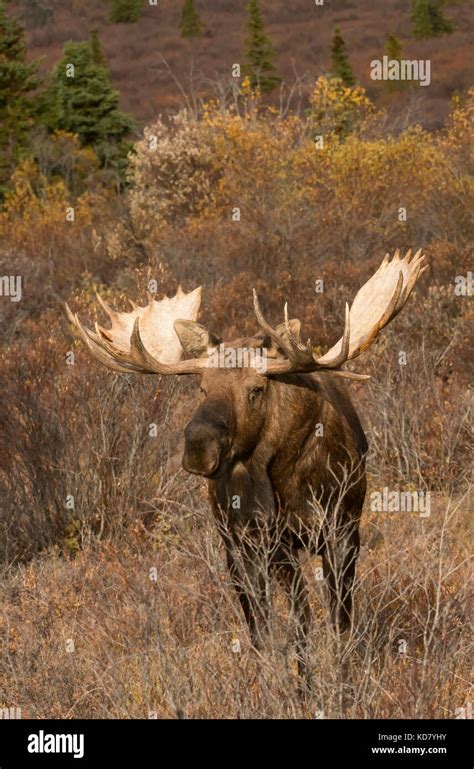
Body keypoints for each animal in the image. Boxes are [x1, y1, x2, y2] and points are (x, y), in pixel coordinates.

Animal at [66, 248, 426, 684]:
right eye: (201, 386)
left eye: (256, 388)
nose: (198, 444)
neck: (279, 479)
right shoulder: (253, 543)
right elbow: (278, 627)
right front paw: (288, 684)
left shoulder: (340, 530)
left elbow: (336, 620)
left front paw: (336, 681)